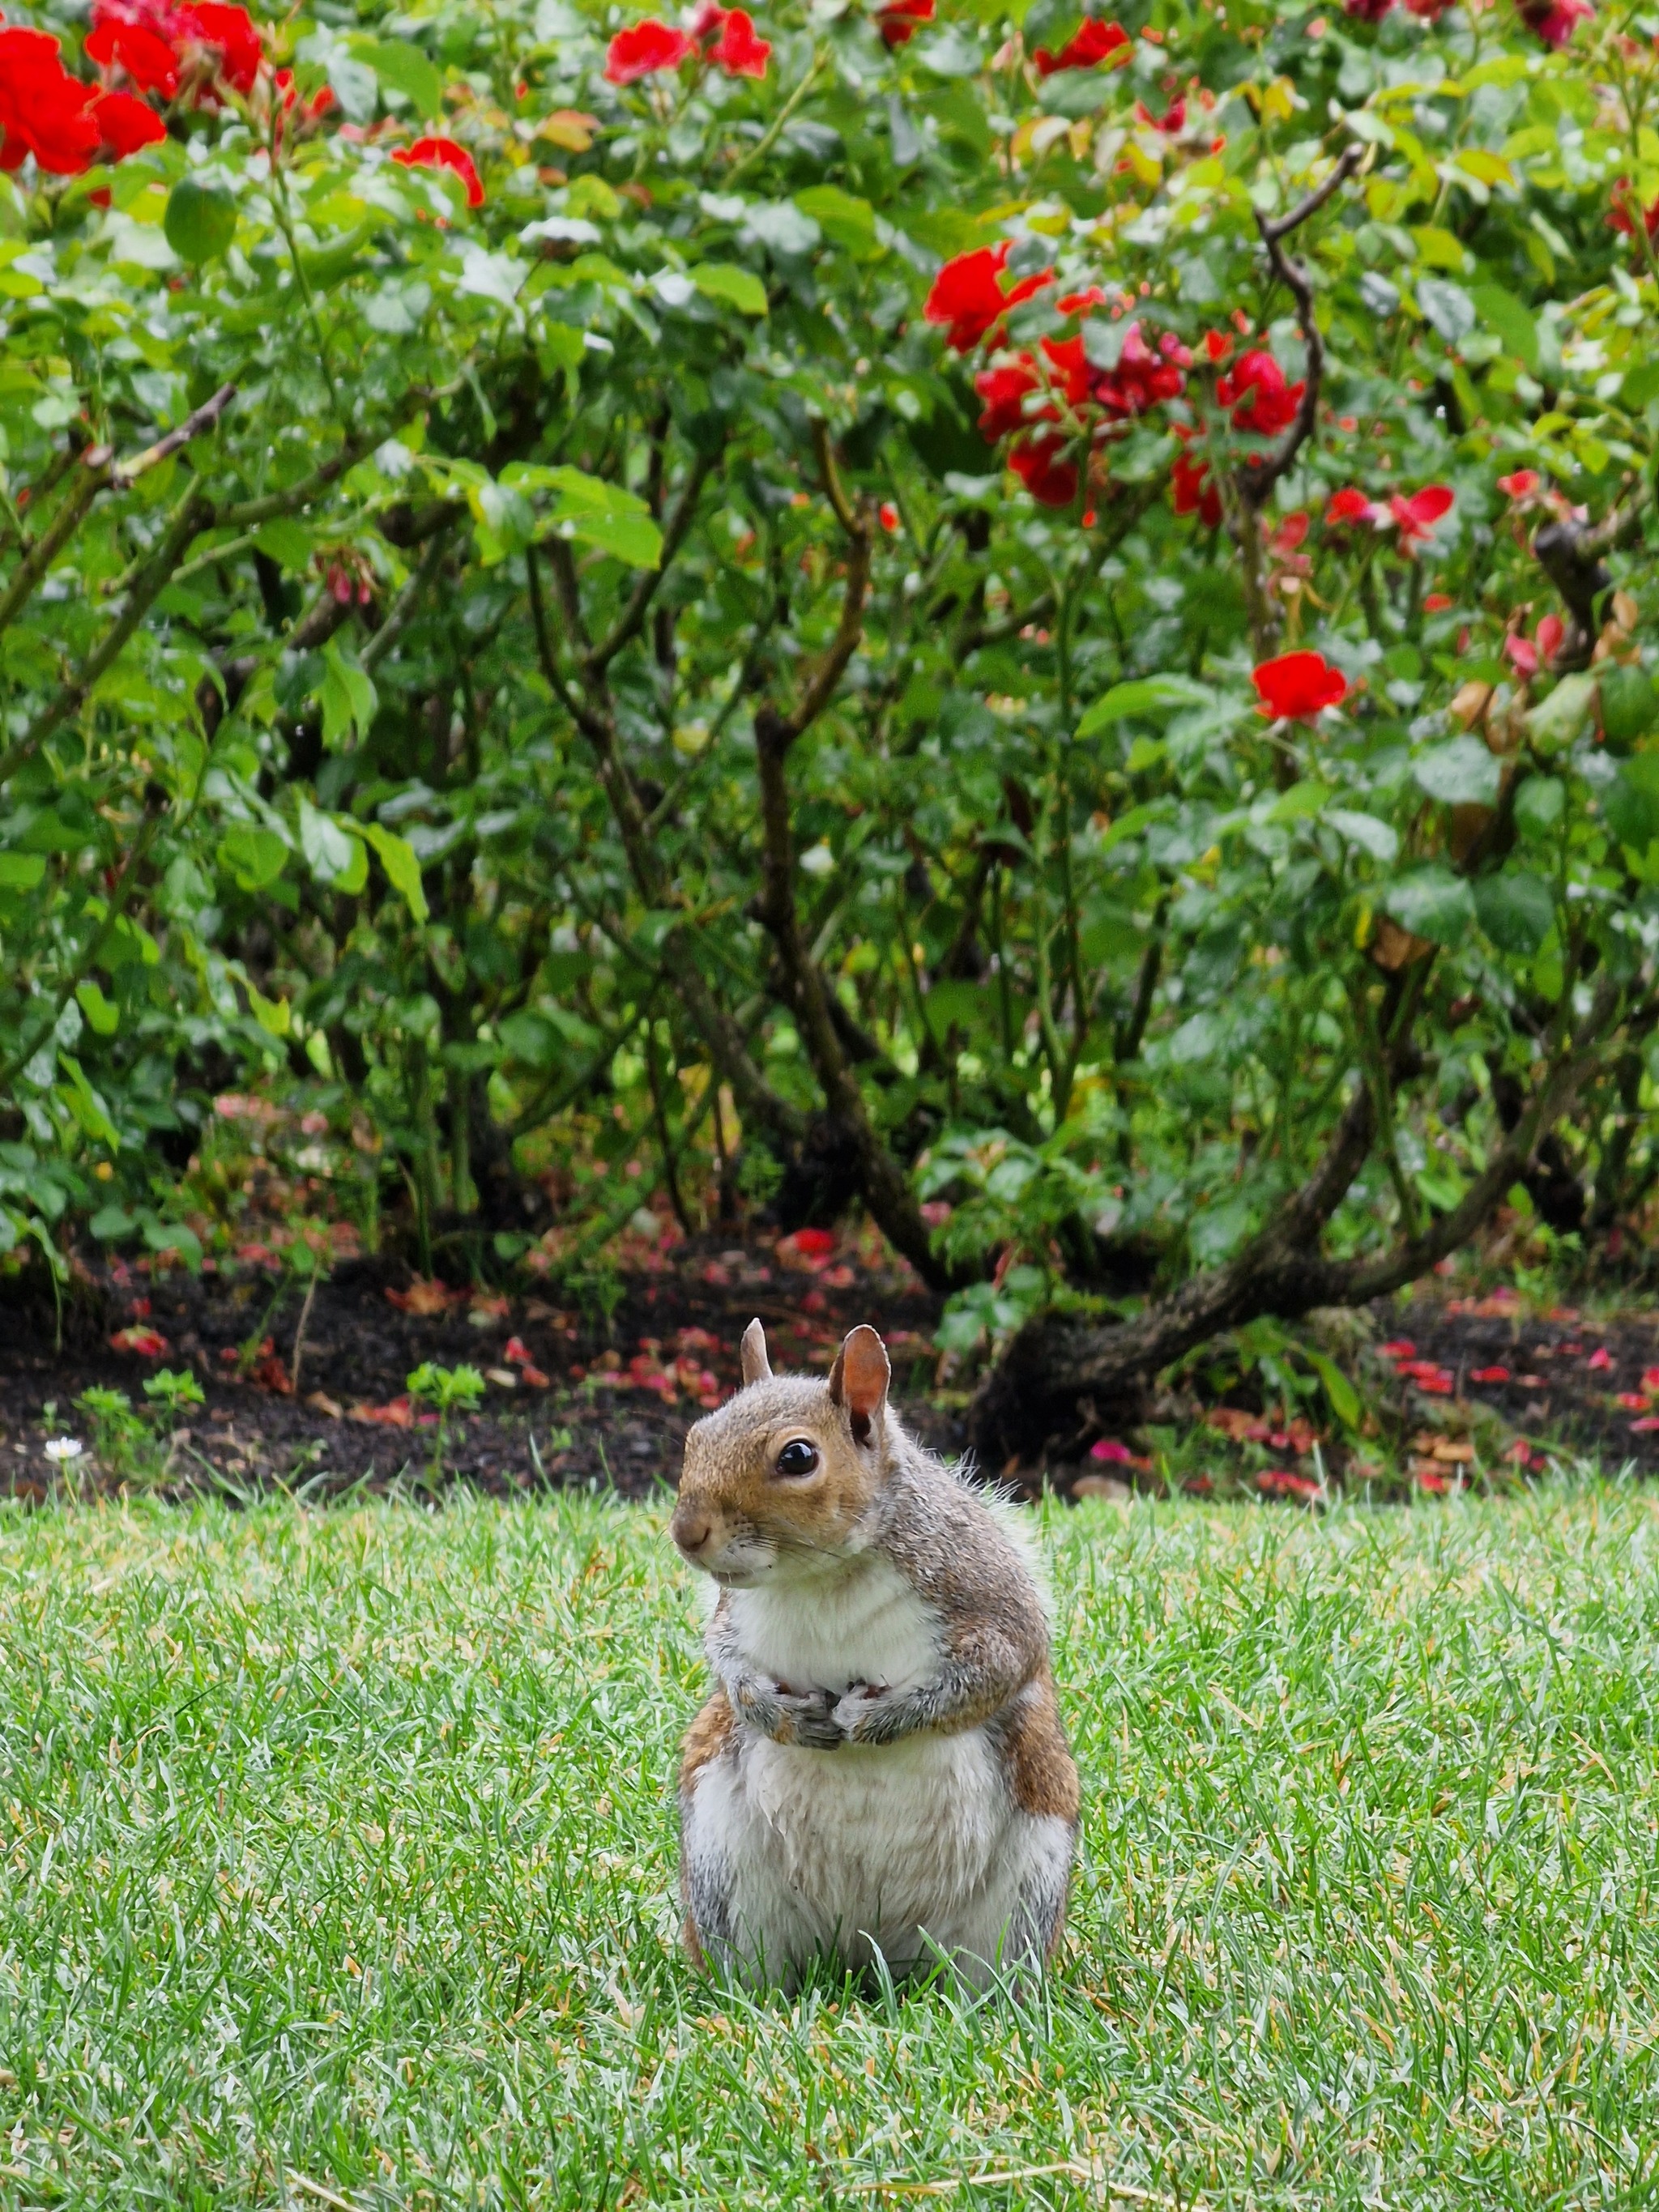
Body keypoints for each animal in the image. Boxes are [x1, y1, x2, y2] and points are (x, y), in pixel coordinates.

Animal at [672, 1300, 1079, 1999]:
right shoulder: (735, 1617)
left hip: (1026, 1888)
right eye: (696, 1436)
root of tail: (866, 1947)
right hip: (721, 1867)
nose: (685, 1530)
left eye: (798, 1456)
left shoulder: (984, 1591)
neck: (823, 1577)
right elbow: (727, 1664)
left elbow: (998, 1666)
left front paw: (879, 1719)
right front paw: (780, 1714)